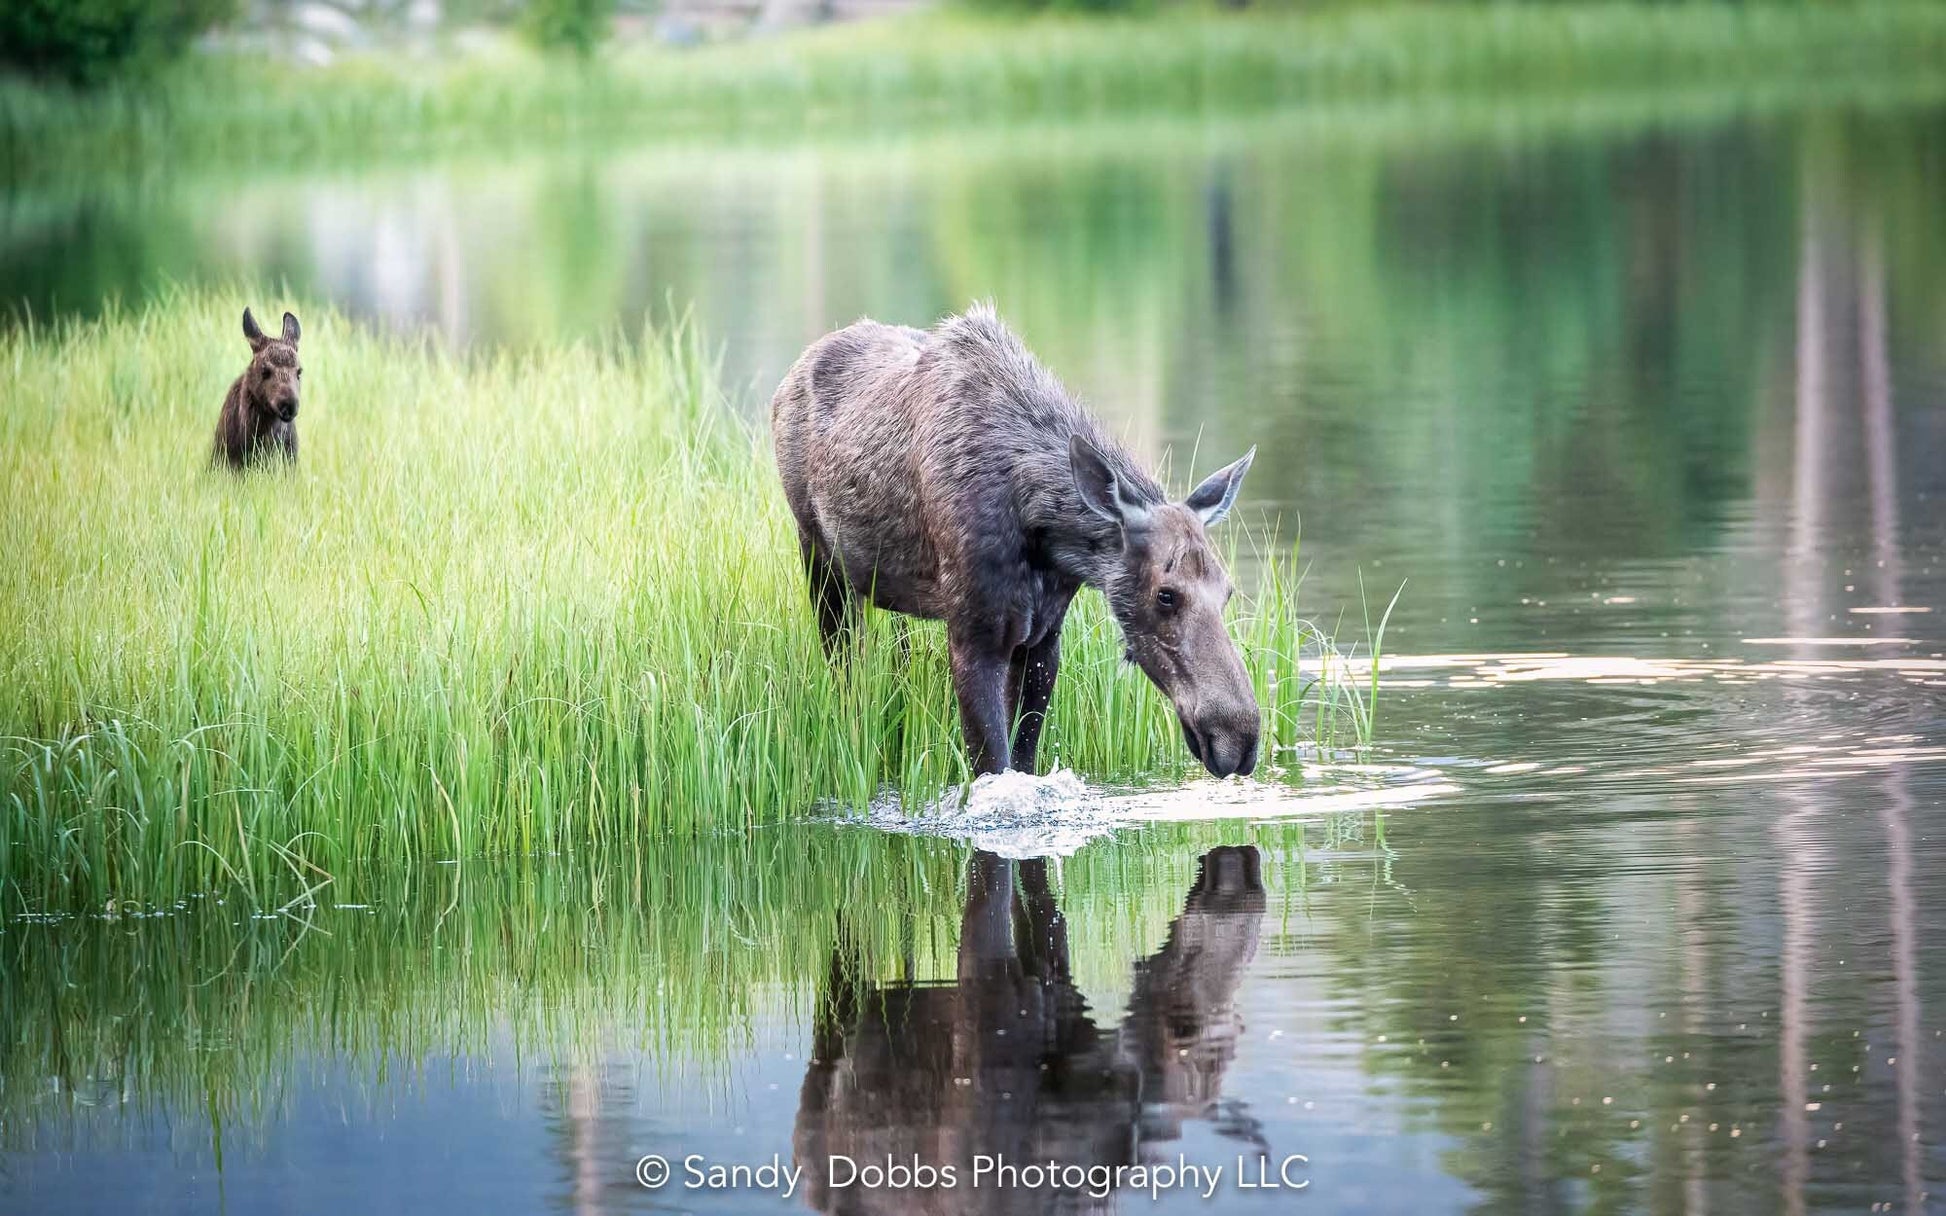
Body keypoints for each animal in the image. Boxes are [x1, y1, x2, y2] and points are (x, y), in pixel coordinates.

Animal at [774, 305, 1261, 778]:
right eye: (1166, 595)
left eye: (1227, 591)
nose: (1240, 738)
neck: (1038, 524)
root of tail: (786, 382)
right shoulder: (974, 637)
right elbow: (993, 766)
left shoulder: (1044, 639)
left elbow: (1023, 760)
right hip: (818, 558)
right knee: (844, 672)